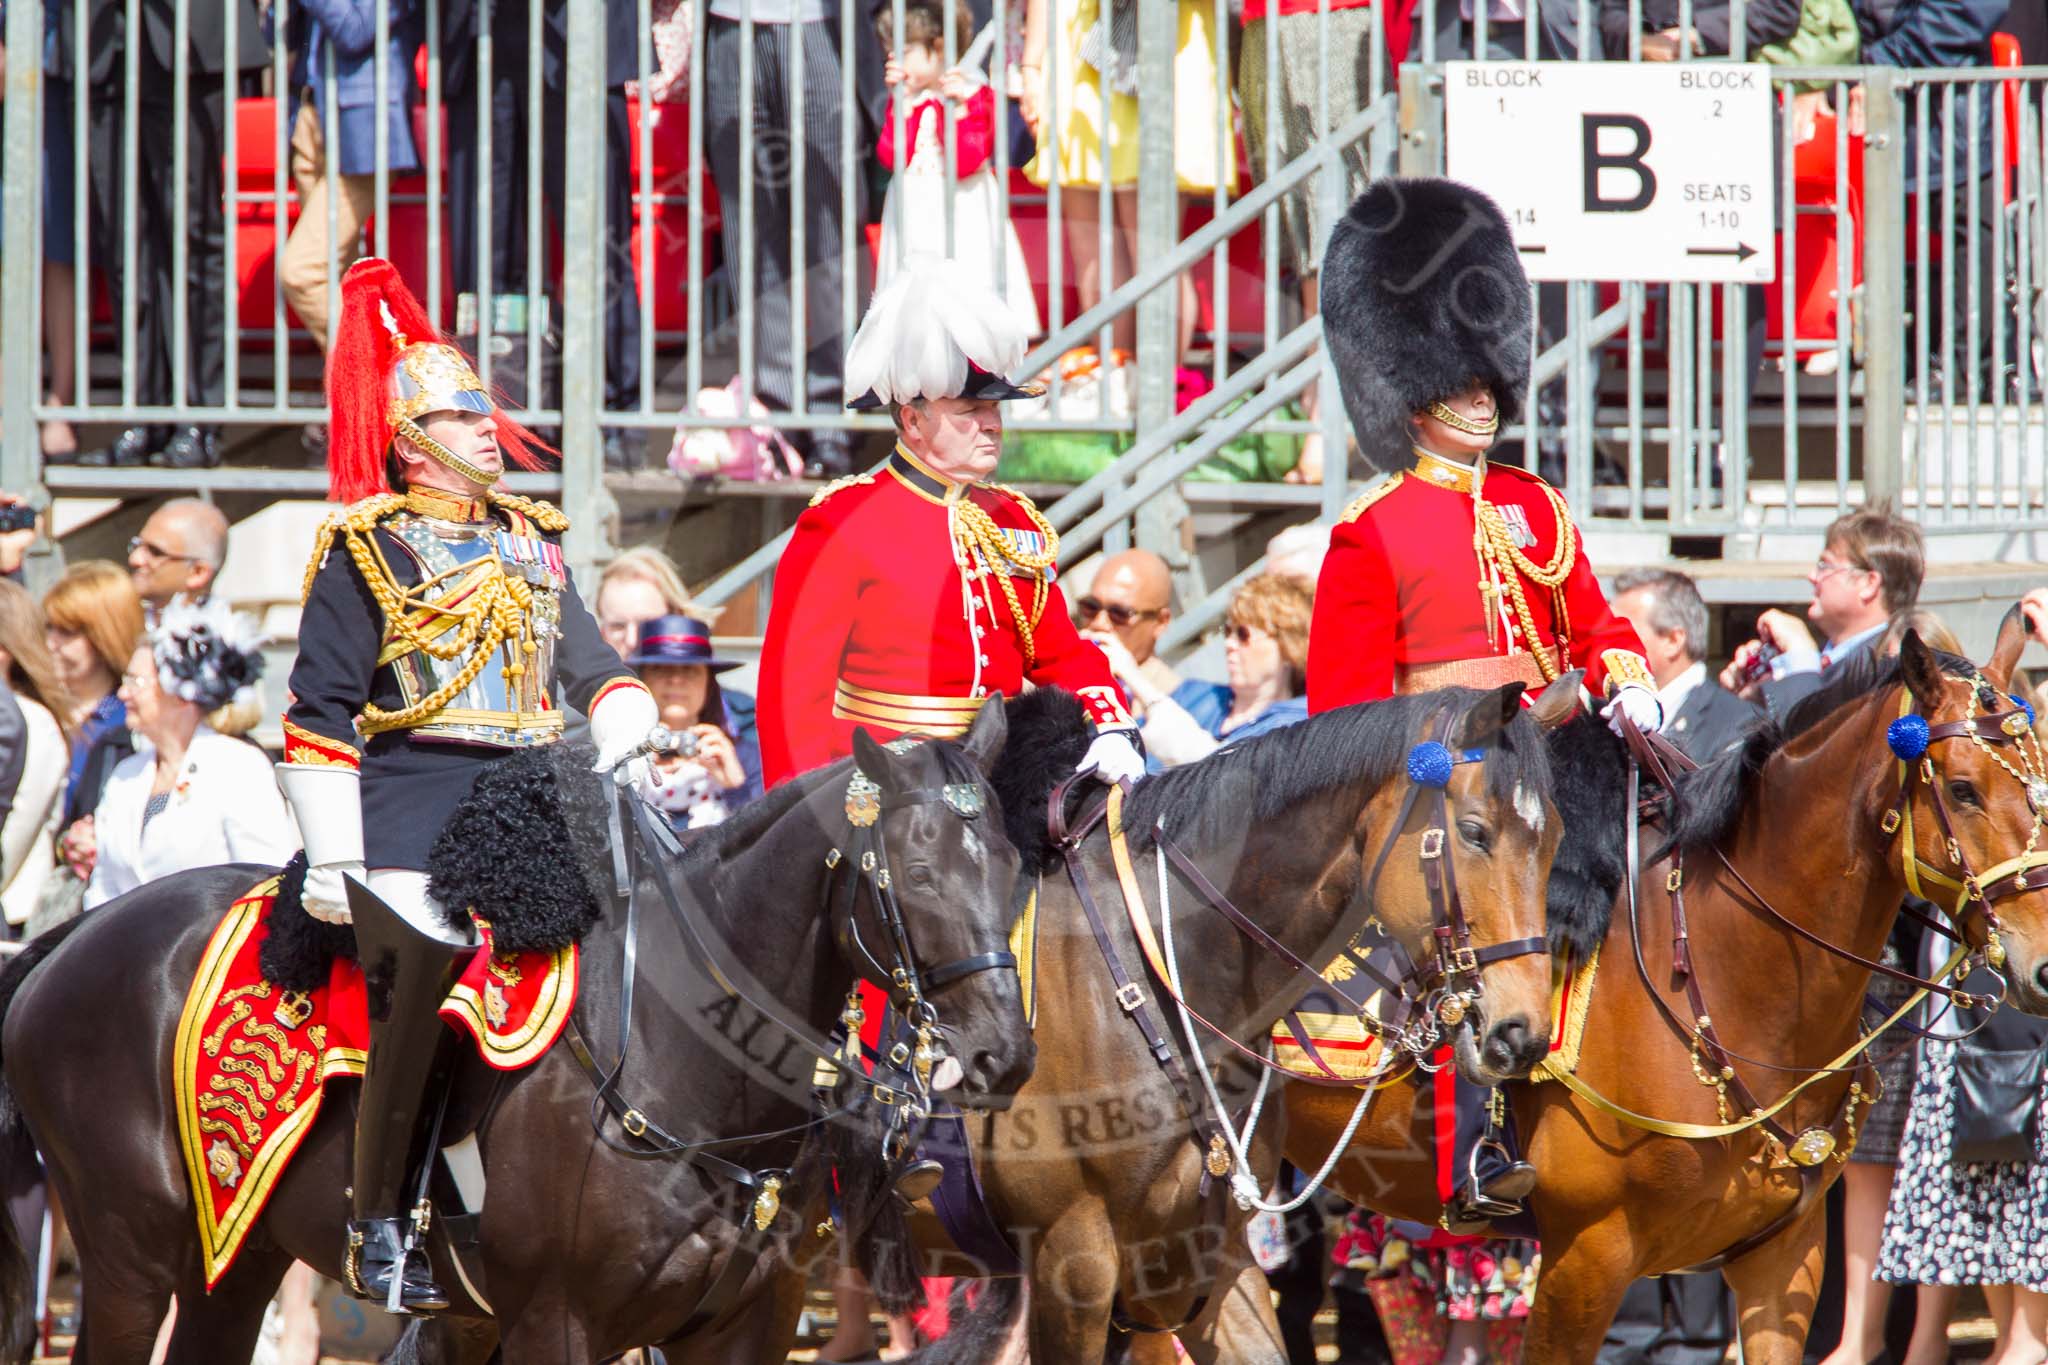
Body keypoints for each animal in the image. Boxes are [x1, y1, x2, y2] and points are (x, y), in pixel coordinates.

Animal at [0, 703, 1032, 1365]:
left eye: (1017, 863)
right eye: (918, 875)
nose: (1004, 1053)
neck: (682, 1066)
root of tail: (77, 935)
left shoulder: (746, 1328)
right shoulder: (554, 1321)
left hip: (236, 1255)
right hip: (133, 1255)